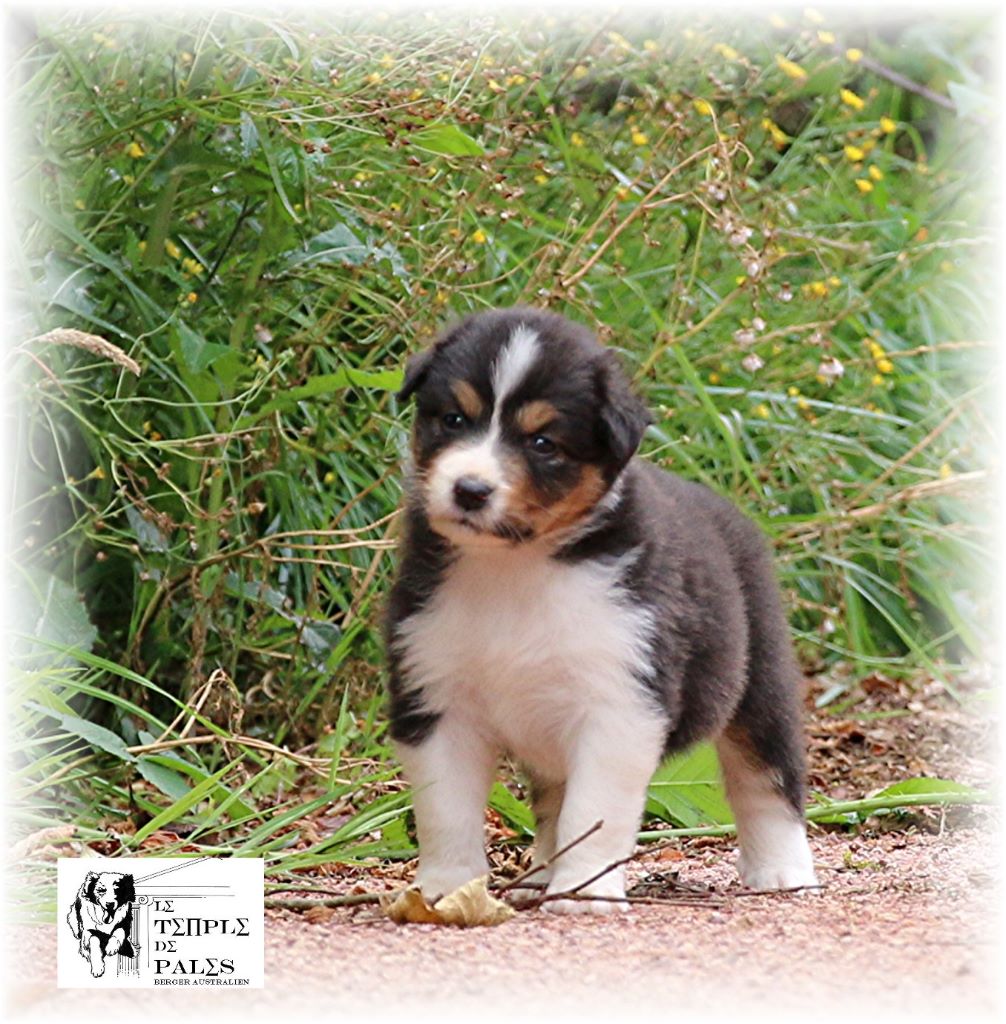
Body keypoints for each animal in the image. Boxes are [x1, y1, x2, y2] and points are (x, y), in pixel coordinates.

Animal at [385, 306, 818, 913]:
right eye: (452, 419)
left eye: (543, 442)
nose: (469, 489)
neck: (514, 568)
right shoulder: (433, 695)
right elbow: (446, 812)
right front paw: (447, 893)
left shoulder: (621, 702)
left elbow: (595, 812)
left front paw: (585, 892)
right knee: (552, 802)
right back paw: (540, 875)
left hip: (759, 683)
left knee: (767, 779)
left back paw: (783, 869)